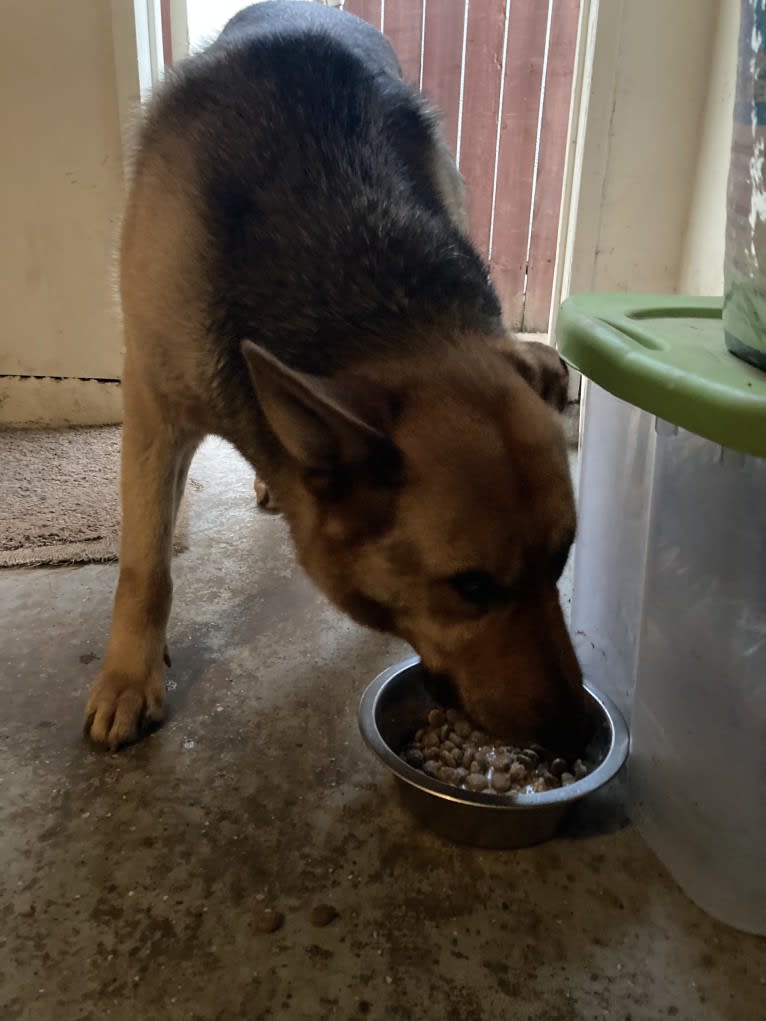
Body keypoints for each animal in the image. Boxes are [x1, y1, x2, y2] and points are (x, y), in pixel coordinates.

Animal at [85, 0, 588, 751]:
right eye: (471, 587)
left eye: (562, 561)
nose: (578, 730)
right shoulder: (153, 412)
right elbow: (144, 566)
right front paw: (126, 677)